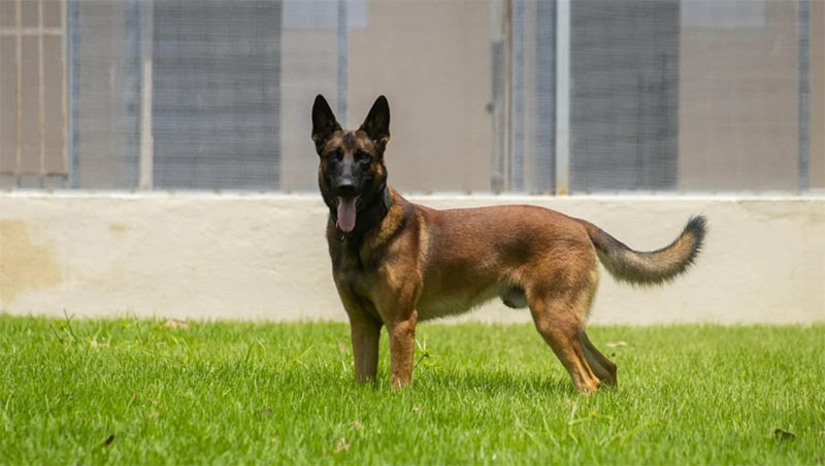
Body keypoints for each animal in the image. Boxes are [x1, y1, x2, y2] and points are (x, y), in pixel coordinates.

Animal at [311, 94, 706, 392]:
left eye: (364, 158)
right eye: (334, 156)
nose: (346, 188)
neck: (362, 236)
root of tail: (579, 224)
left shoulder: (400, 323)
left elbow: (398, 381)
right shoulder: (362, 324)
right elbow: (363, 378)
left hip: (552, 319)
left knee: (588, 380)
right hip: (566, 321)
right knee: (607, 369)